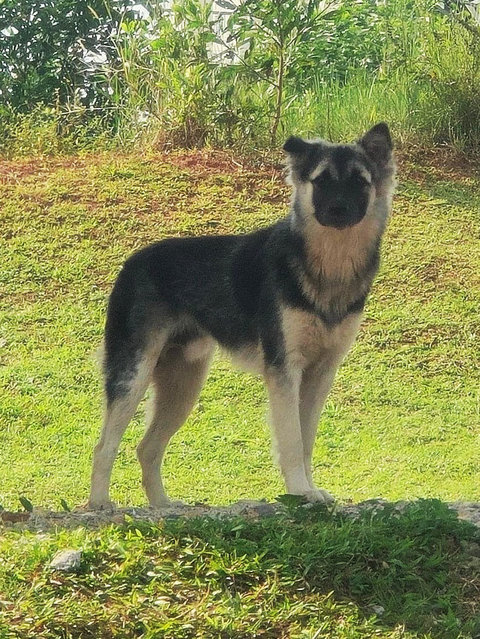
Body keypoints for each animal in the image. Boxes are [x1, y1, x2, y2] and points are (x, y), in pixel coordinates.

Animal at [88, 124, 396, 510]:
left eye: (359, 181)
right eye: (322, 181)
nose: (338, 210)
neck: (329, 267)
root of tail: (131, 262)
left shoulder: (322, 372)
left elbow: (307, 440)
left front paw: (310, 490)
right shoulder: (285, 370)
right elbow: (292, 441)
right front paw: (299, 491)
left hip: (183, 386)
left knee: (147, 448)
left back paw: (163, 506)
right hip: (134, 374)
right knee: (104, 445)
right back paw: (99, 503)